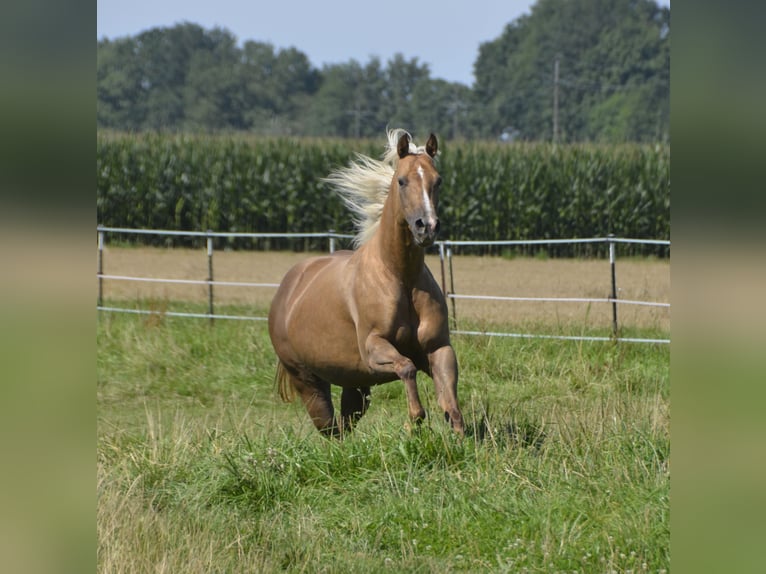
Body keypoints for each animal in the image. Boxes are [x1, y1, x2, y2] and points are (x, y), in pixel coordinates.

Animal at [268, 129, 464, 436]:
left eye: (438, 180)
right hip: (308, 381)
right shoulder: (374, 348)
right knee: (330, 428)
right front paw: (414, 420)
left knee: (344, 426)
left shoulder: (437, 348)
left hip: (355, 384)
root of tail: (285, 291)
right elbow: (406, 367)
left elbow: (451, 403)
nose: (427, 227)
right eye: (402, 180)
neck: (400, 277)